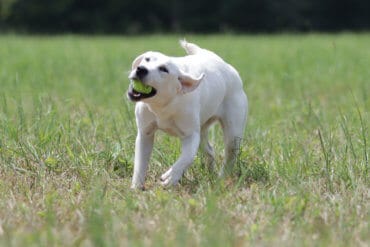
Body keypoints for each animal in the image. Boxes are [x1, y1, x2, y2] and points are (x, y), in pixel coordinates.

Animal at [128, 40, 249, 188]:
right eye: (147, 59)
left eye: (164, 69)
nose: (141, 69)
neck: (164, 105)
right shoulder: (145, 134)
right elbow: (140, 163)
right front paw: (136, 187)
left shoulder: (191, 136)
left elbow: (186, 158)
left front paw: (171, 176)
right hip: (202, 132)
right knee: (210, 151)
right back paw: (210, 174)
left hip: (233, 134)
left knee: (230, 155)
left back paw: (221, 179)